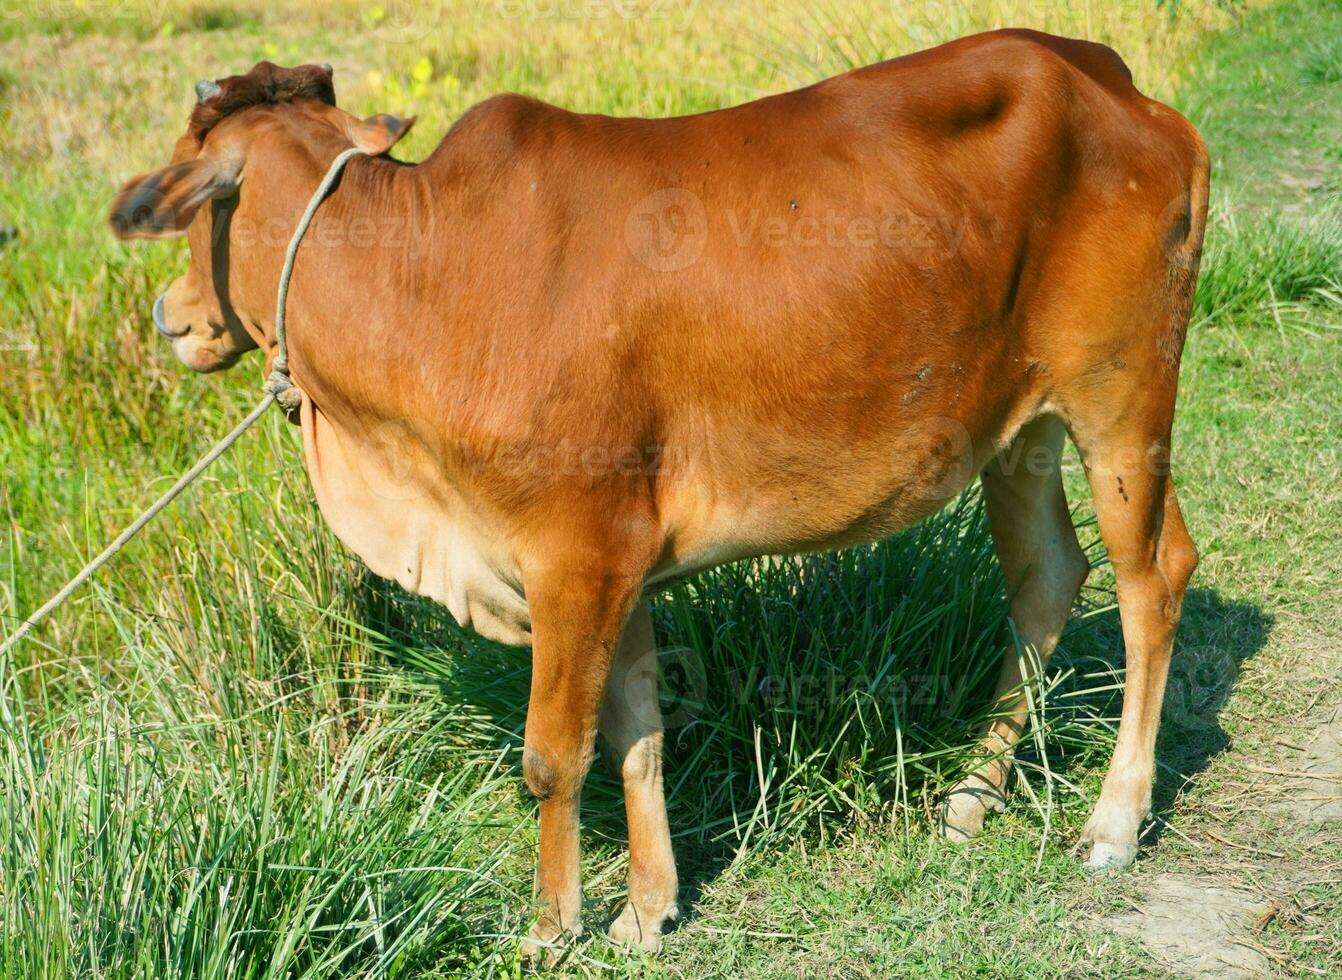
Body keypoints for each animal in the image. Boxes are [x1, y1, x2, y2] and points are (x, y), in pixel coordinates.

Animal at [110, 30, 1213, 955]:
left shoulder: (573, 557)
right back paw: (970, 796)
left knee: (1153, 577)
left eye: (206, 204)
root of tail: (1108, 79)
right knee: (1047, 576)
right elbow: (635, 732)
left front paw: (550, 928)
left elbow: (554, 753)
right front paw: (647, 907)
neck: (429, 278)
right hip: (1017, 431)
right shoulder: (620, 560)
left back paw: (1113, 823)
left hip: (1121, 396)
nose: (169, 314)